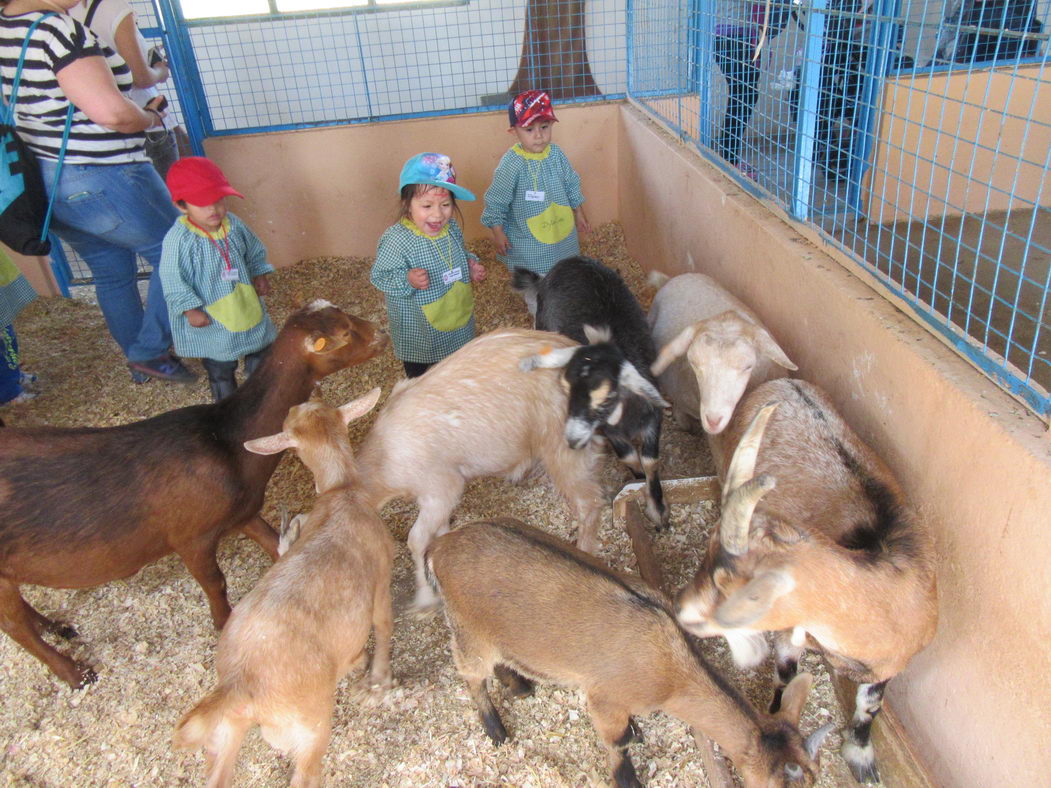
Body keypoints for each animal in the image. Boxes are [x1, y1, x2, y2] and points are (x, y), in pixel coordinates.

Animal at [0, 298, 386, 689]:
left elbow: (273, 545)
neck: (226, 441)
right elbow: (215, 582)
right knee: (14, 626)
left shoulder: (242, 512)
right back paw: (73, 672)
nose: (382, 333)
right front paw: (223, 622)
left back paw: (55, 625)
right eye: (344, 334)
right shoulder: (190, 536)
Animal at [173, 392, 395, 788]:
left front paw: (360, 663)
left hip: (228, 729)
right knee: (305, 774)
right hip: (309, 725)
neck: (342, 492)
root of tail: (240, 681)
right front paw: (377, 677)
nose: (295, 405)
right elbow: (384, 628)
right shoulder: (381, 581)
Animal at [426, 519, 828, 788]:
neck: (673, 671)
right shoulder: (604, 698)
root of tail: (440, 547)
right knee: (472, 675)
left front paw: (636, 731)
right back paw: (496, 728)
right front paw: (627, 777)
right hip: (469, 628)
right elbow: (616, 742)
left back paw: (519, 685)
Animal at [512, 259, 668, 527]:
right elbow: (629, 456)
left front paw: (657, 508)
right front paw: (637, 480)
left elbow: (650, 460)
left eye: (606, 399)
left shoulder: (652, 418)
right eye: (566, 389)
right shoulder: (611, 431)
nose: (572, 440)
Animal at [676, 380, 941, 785]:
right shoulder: (792, 631)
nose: (681, 609)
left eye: (740, 594)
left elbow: (869, 706)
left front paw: (863, 761)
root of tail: (783, 382)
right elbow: (786, 676)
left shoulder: (889, 664)